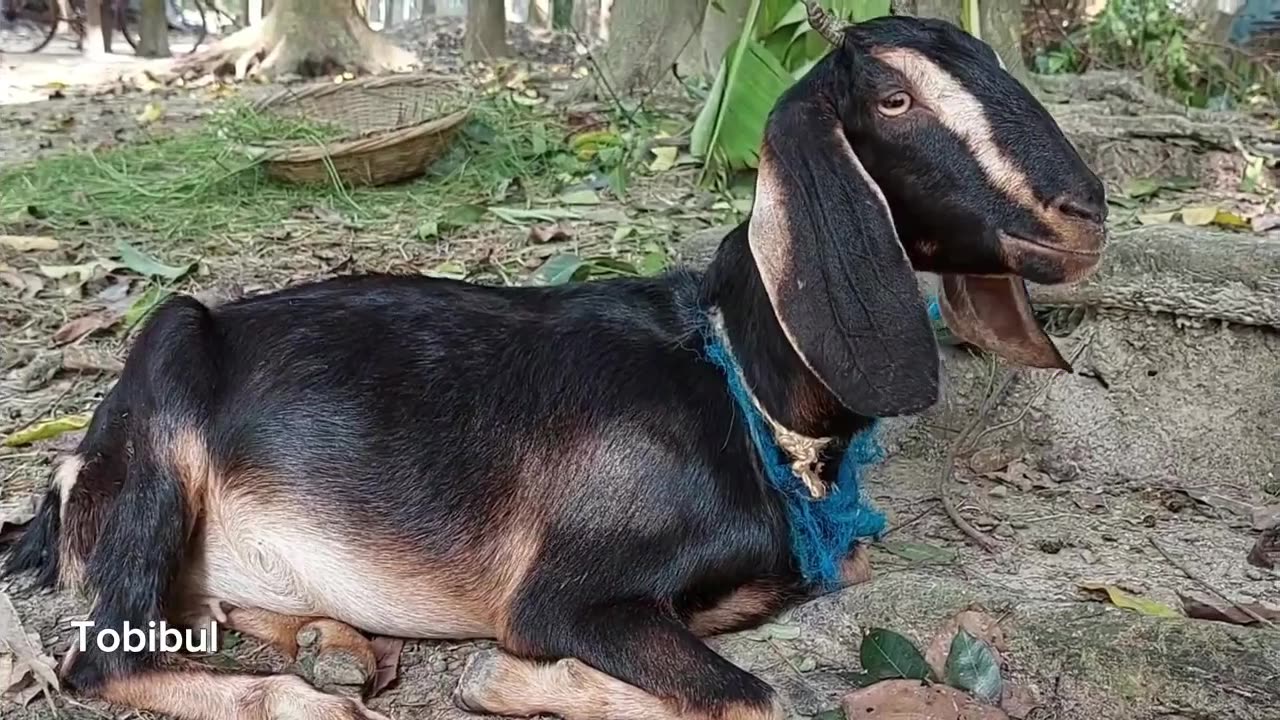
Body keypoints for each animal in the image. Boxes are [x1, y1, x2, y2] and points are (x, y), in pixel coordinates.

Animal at [2, 4, 1107, 719]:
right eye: (891, 97)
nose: (1083, 212)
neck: (735, 386)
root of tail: (72, 471)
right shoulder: (567, 593)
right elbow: (751, 700)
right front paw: (502, 681)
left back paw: (338, 646)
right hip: (166, 380)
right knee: (103, 656)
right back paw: (310, 699)